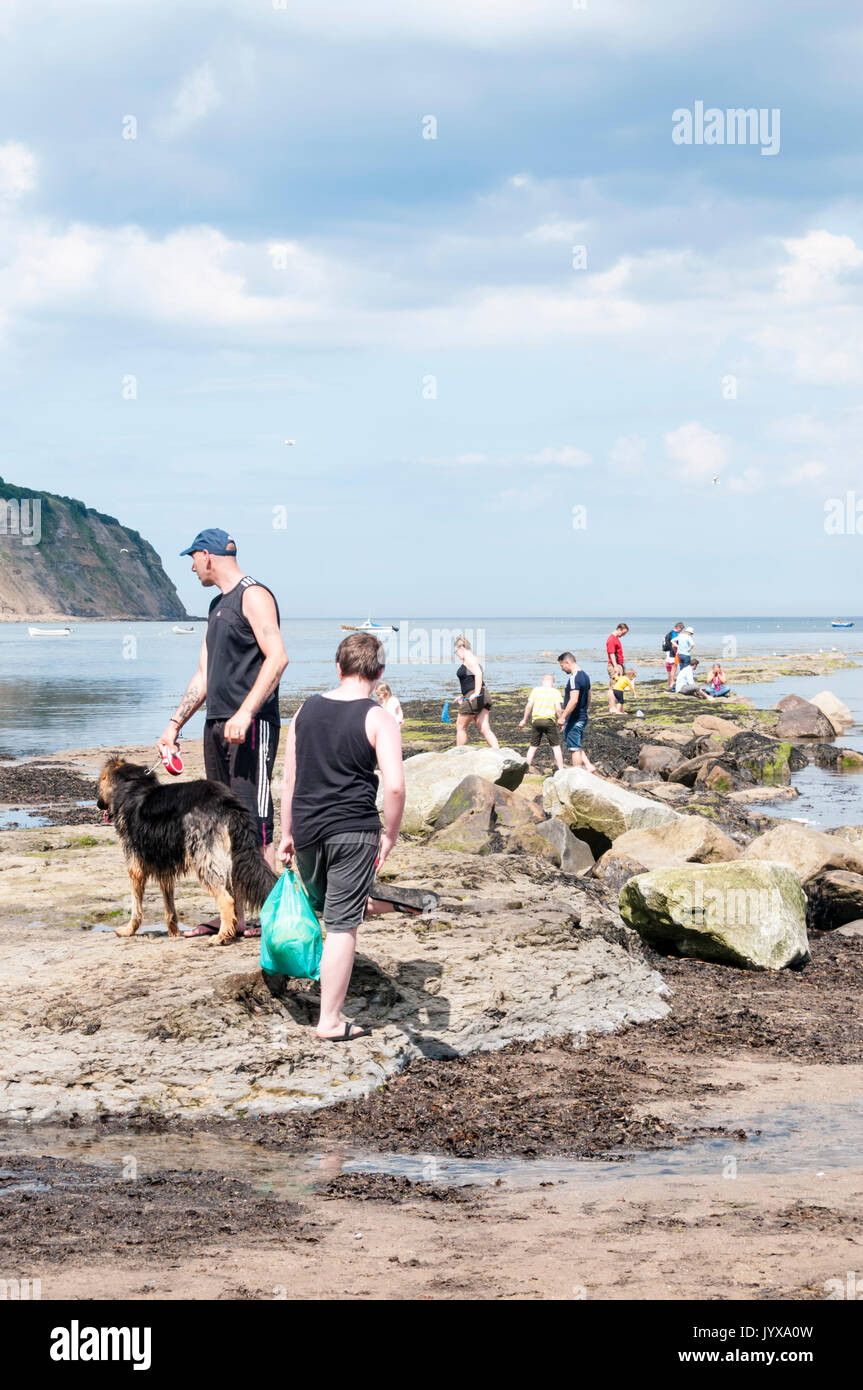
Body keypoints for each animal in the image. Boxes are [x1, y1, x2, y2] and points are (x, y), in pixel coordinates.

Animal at [99, 761, 277, 945]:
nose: (98, 804)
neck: (132, 783)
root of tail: (228, 802)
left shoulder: (135, 867)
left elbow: (136, 904)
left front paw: (128, 930)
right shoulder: (165, 867)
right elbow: (169, 903)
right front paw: (173, 931)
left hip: (204, 858)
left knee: (227, 900)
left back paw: (220, 937)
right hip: (230, 859)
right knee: (235, 897)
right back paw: (230, 931)